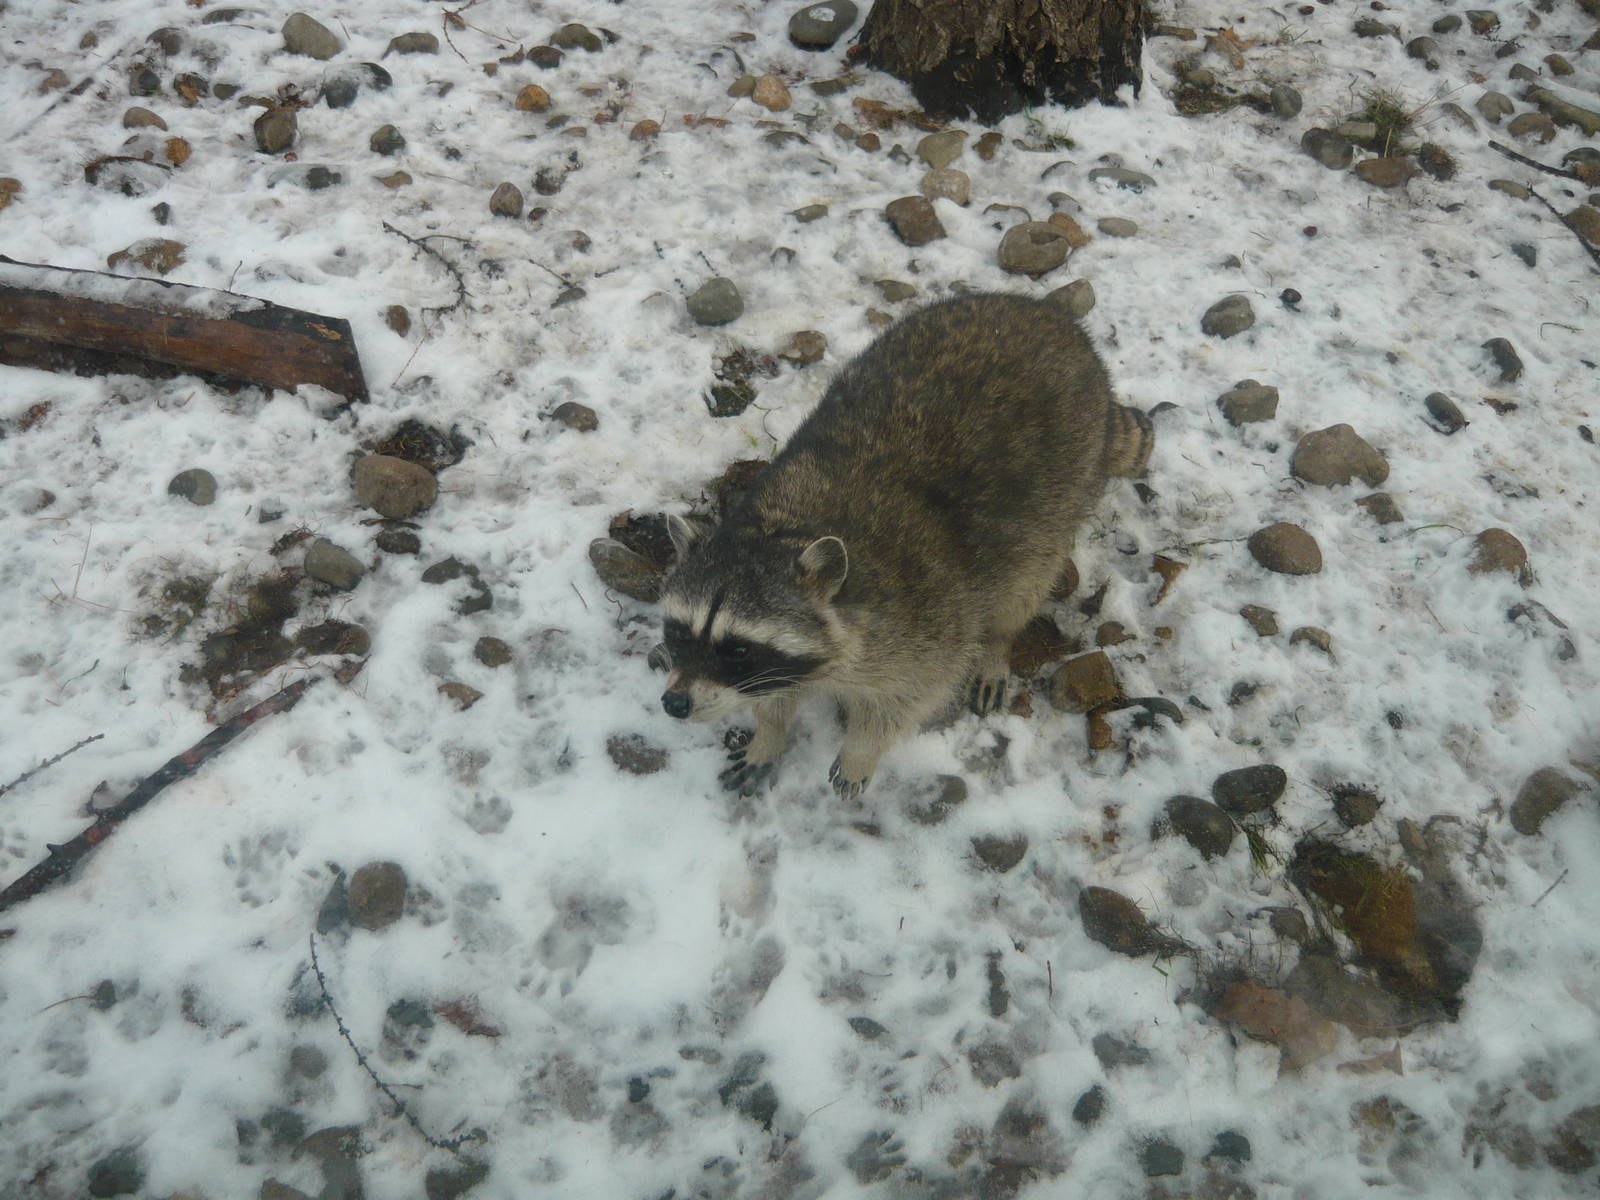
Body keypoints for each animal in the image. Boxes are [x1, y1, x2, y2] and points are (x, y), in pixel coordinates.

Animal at [659, 292, 1151, 797]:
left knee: (1023, 587)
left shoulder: (925, 624)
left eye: (738, 650)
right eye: (677, 632)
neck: (782, 530)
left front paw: (861, 750)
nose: (674, 704)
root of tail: (1049, 314)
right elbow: (775, 695)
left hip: (1064, 494)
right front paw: (769, 734)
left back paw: (997, 645)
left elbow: (908, 697)